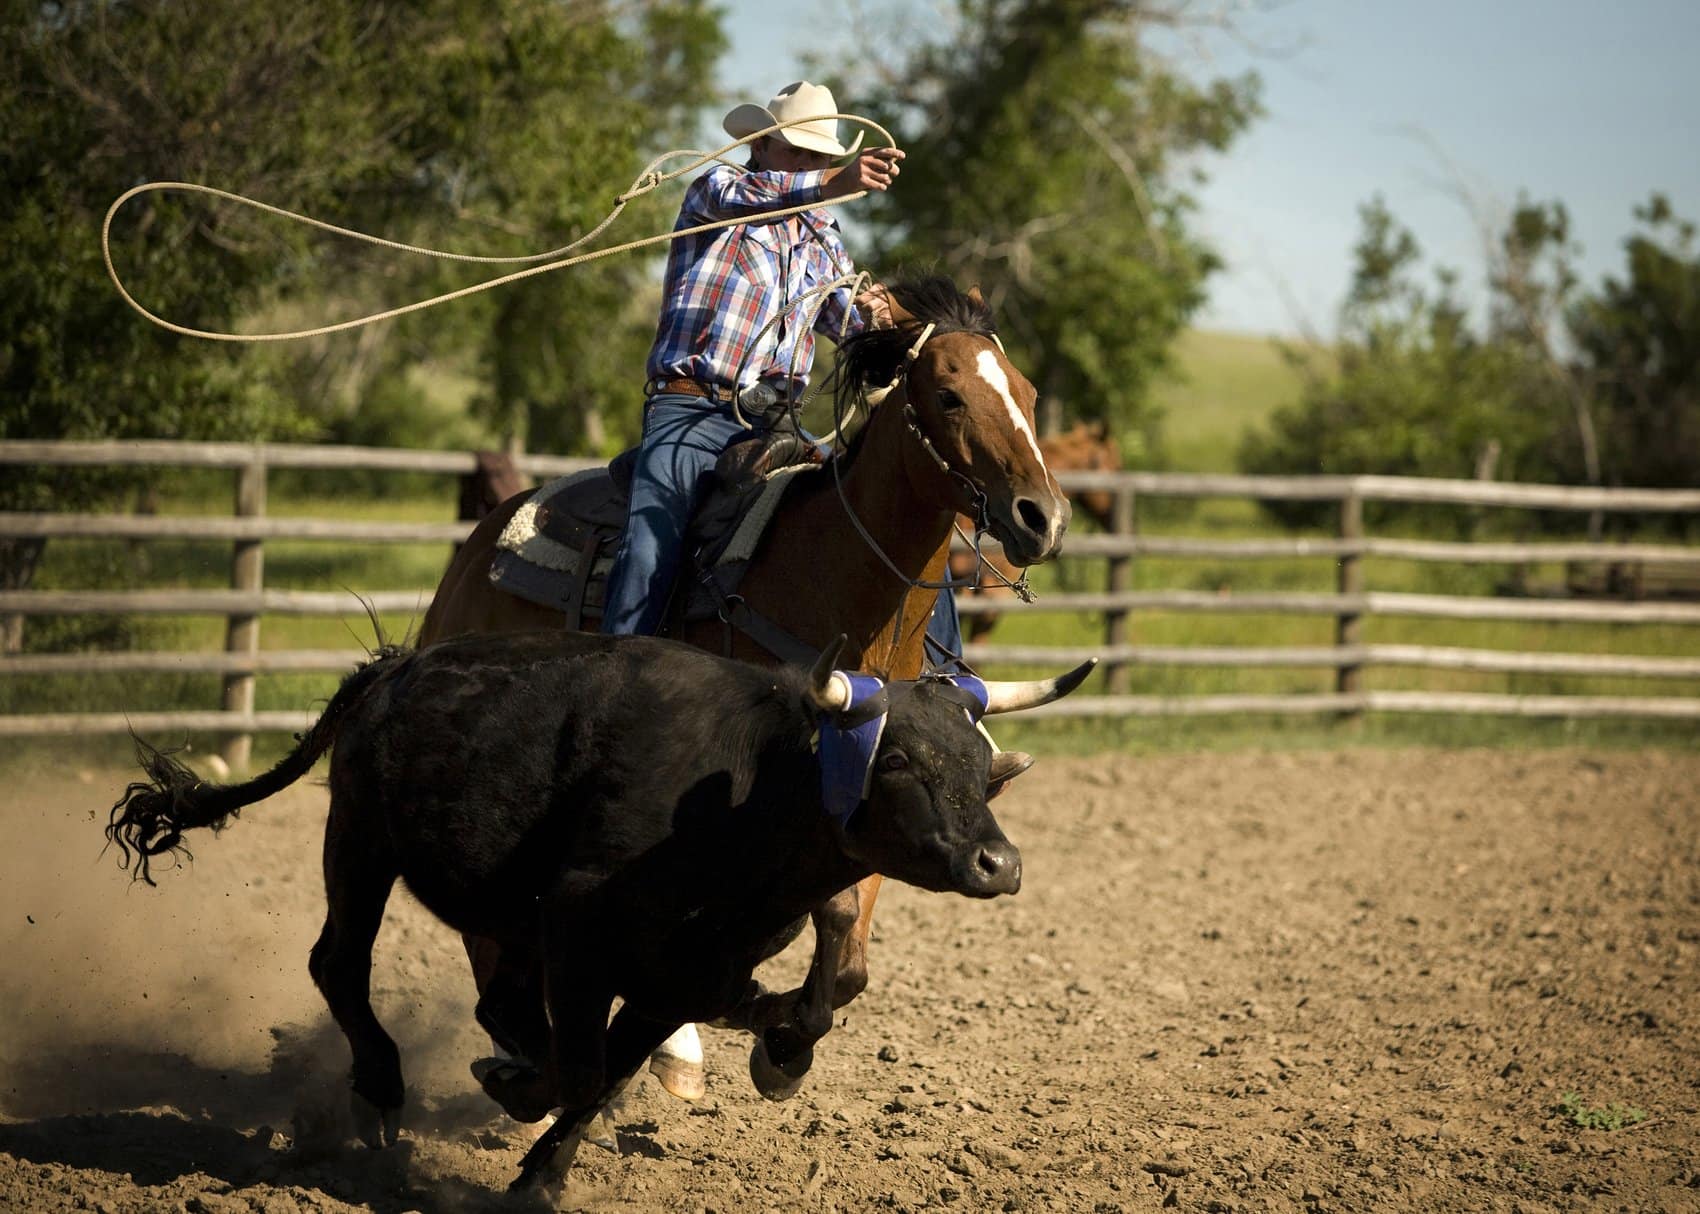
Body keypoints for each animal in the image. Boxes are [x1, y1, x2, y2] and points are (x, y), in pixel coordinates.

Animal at [419, 272, 1067, 1094]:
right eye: (949, 395)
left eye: (1029, 392)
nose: (1042, 518)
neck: (833, 585)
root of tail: (476, 548)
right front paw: (733, 1030)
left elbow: (847, 940)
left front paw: (784, 1043)